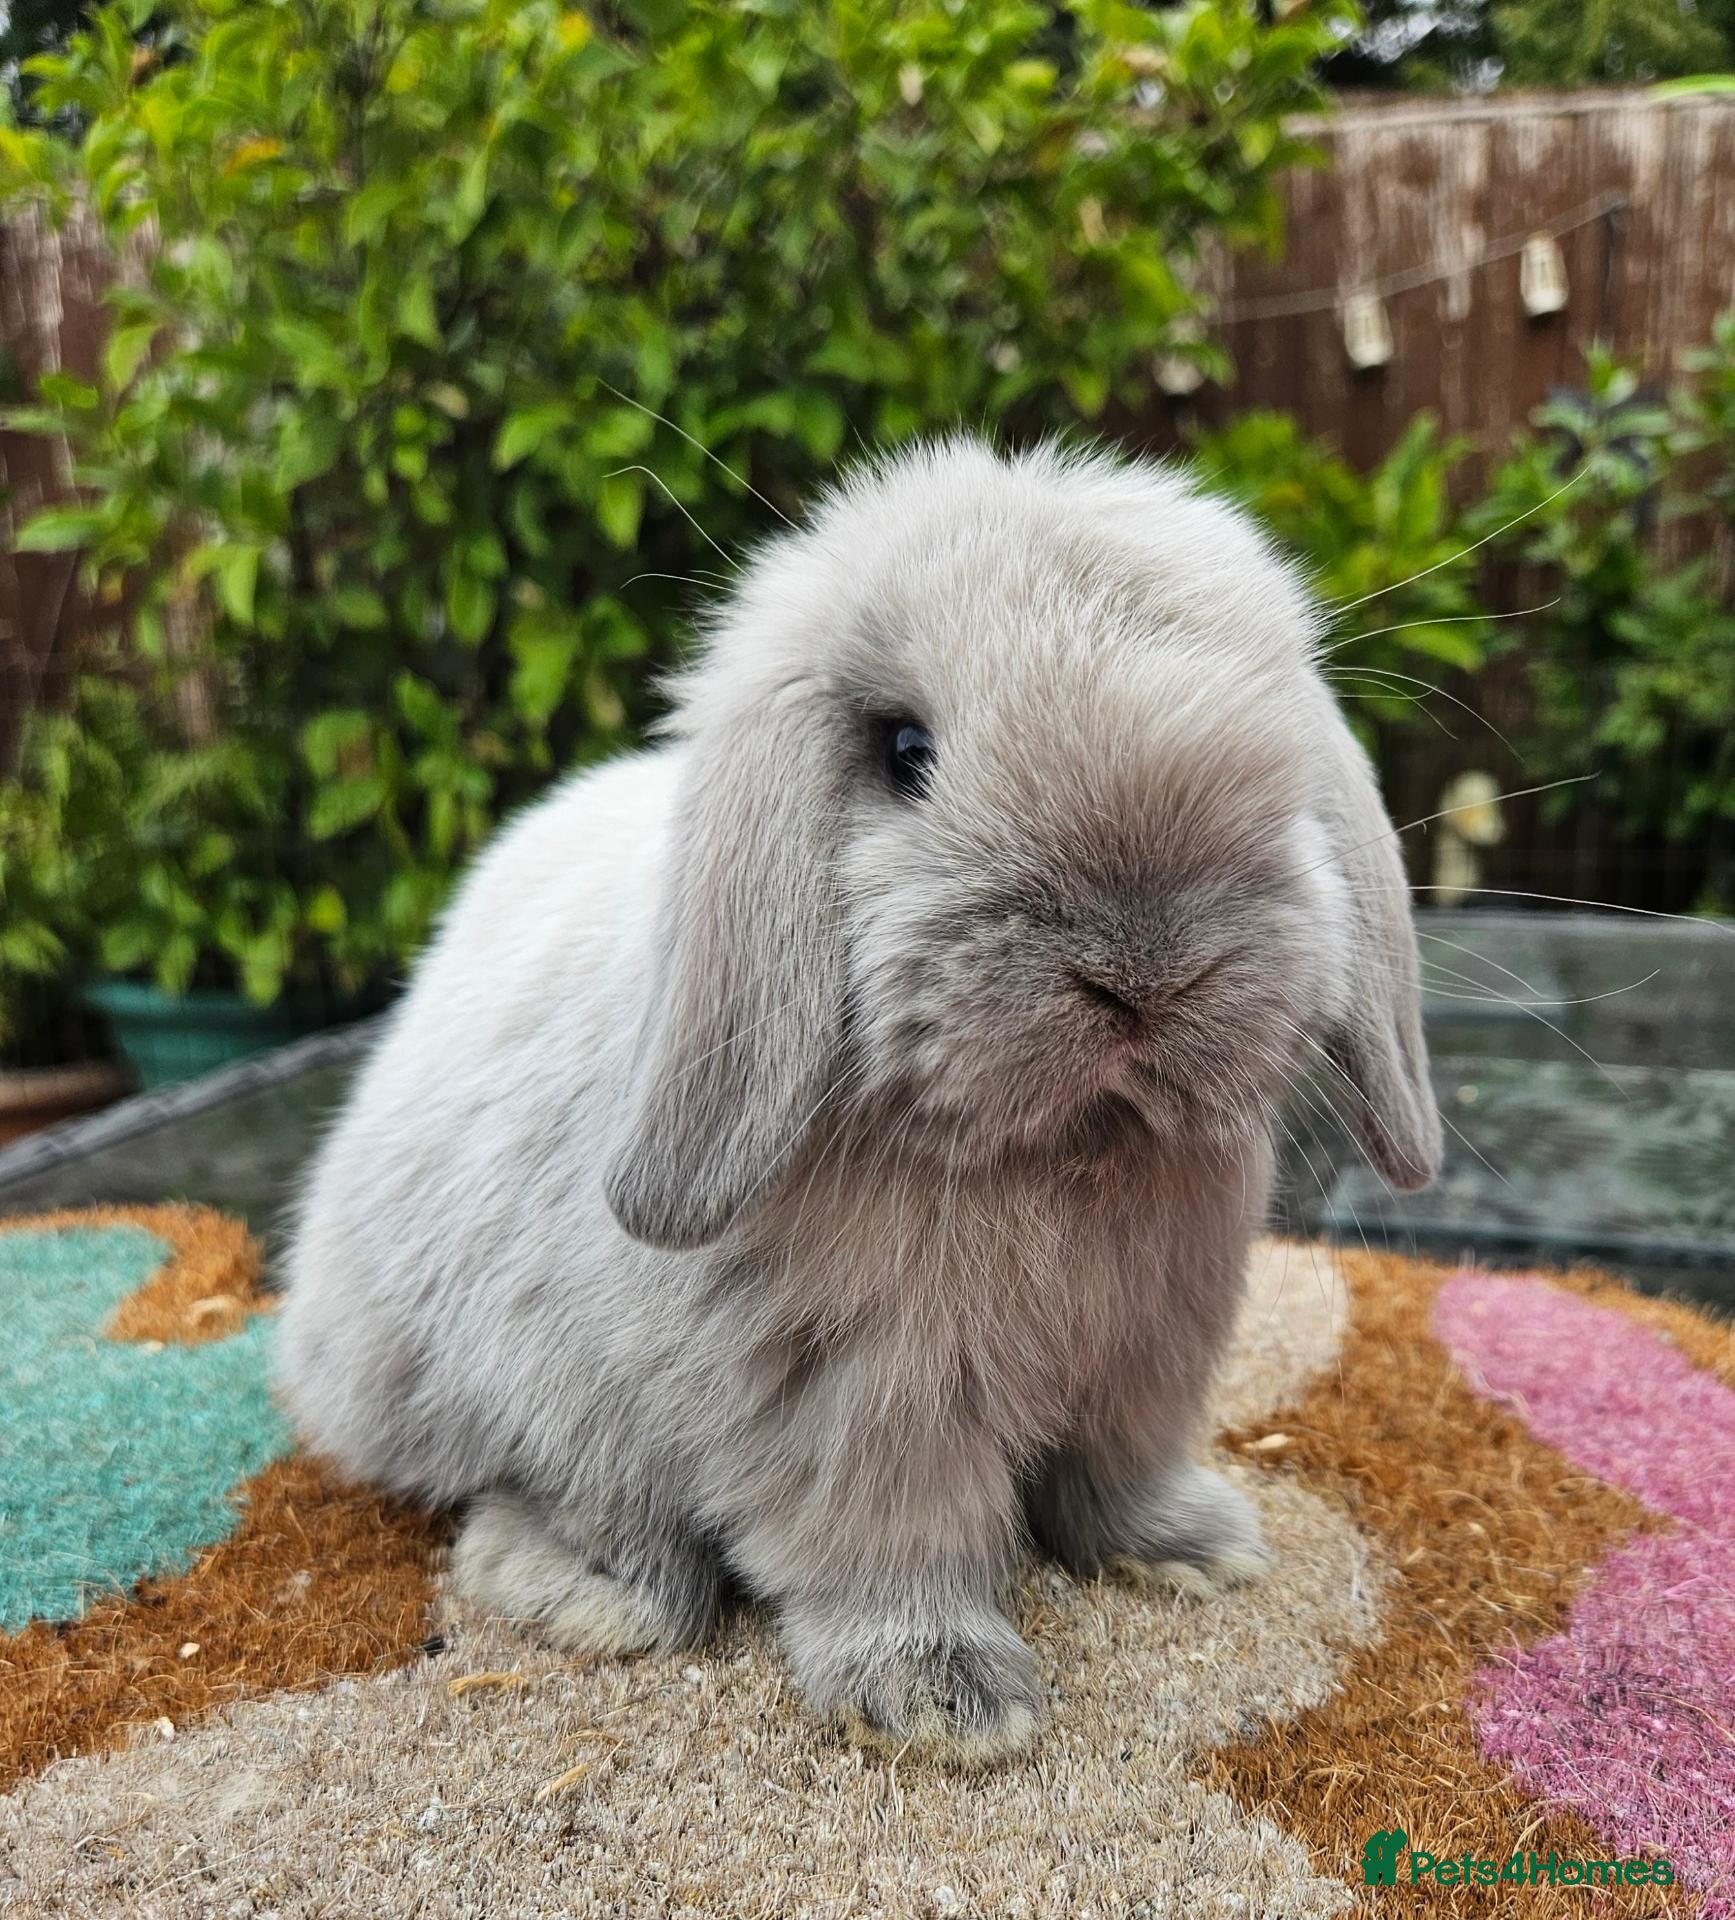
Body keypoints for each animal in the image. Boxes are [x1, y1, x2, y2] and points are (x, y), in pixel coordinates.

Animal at [276, 436, 1440, 1764]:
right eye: (902, 751)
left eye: (1286, 767)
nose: (1143, 969)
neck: (1054, 1155)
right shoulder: (857, 1396)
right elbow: (890, 1542)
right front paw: (946, 1702)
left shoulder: (1150, 1358)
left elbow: (1119, 1476)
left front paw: (1192, 1551)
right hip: (501, 1385)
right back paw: (593, 1594)